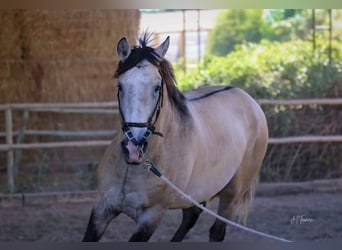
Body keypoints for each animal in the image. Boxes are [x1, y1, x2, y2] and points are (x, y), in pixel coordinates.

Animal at [81, 33, 268, 242]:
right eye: (120, 86)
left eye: (157, 87)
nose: (133, 148)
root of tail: (249, 101)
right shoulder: (102, 208)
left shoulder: (151, 216)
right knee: (191, 216)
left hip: (232, 194)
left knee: (217, 231)